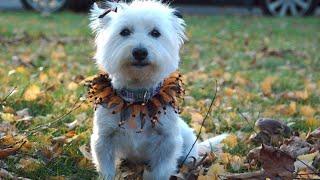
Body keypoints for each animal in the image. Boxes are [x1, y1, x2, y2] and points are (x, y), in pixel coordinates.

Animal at [88, 0, 198, 179]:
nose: (140, 52)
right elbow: (107, 169)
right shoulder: (104, 139)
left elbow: (161, 171)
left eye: (155, 33)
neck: (138, 98)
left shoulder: (167, 142)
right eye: (125, 32)